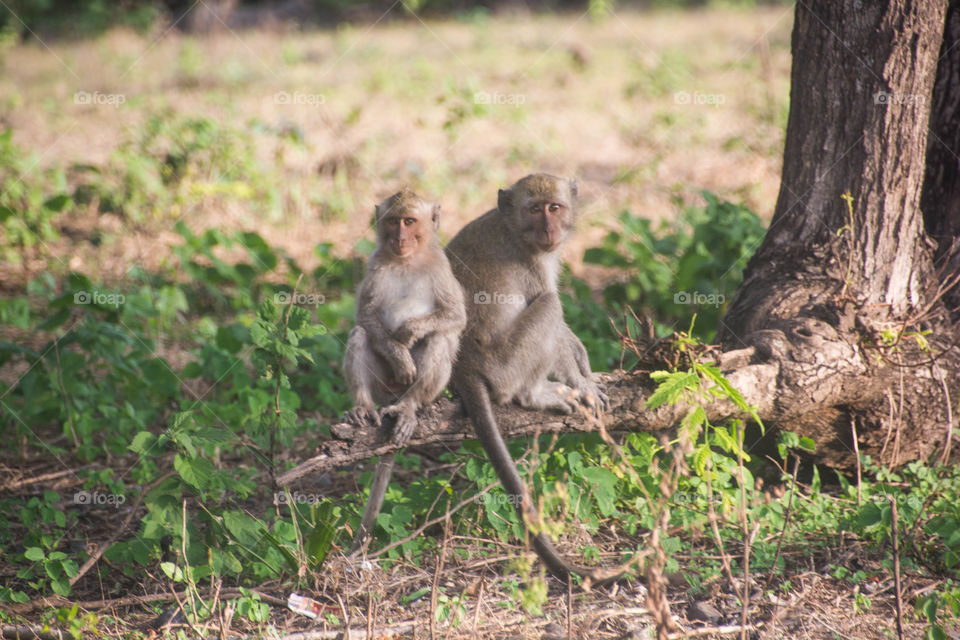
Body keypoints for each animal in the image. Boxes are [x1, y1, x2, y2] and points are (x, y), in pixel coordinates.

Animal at [343, 188, 466, 550]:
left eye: (410, 221)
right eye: (392, 221)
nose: (399, 238)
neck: (407, 260)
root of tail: (394, 396)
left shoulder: (441, 265)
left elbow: (455, 316)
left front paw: (409, 332)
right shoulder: (375, 263)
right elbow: (366, 316)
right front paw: (399, 354)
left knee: (439, 338)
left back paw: (410, 407)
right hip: (383, 385)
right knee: (360, 334)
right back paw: (362, 406)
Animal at [445, 174, 619, 585]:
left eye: (554, 207)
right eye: (534, 209)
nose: (549, 229)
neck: (513, 228)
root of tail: (463, 367)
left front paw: (588, 368)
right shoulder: (531, 264)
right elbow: (549, 304)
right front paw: (582, 383)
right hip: (507, 364)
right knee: (549, 307)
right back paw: (534, 395)